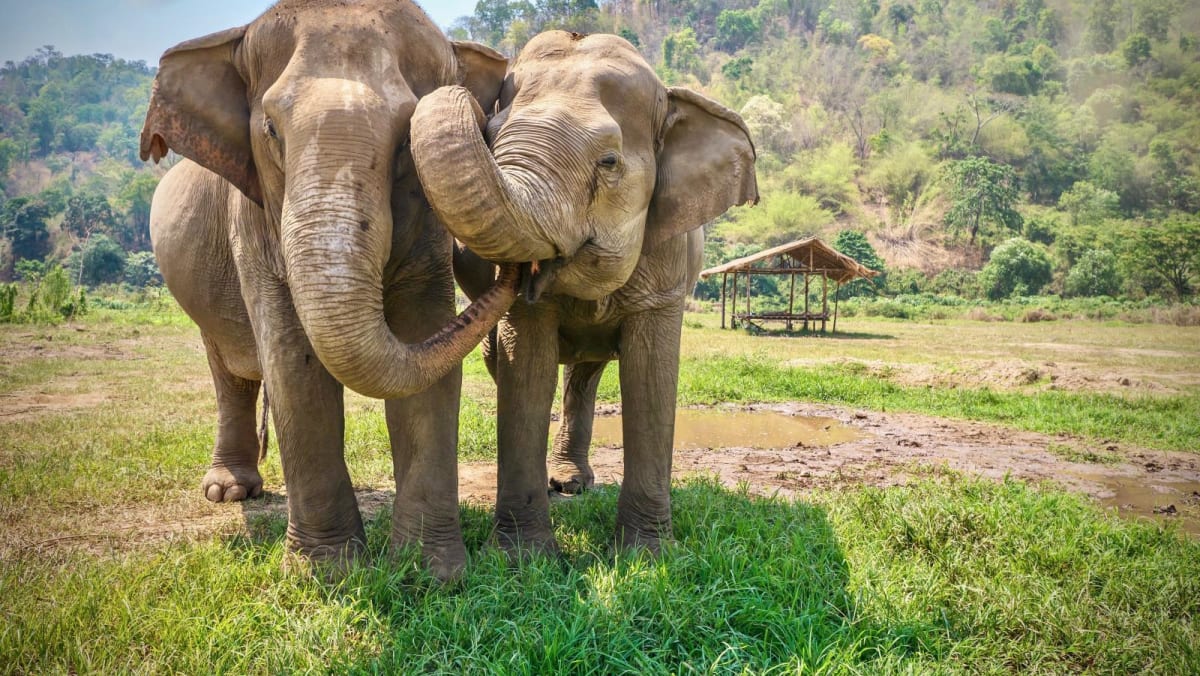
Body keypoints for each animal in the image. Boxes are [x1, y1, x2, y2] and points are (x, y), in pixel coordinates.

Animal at [139, 1, 516, 581]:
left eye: (406, 139)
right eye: (270, 128)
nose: (521, 271)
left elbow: (426, 346)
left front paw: (430, 574)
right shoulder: (252, 221)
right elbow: (294, 367)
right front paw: (327, 575)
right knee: (230, 372)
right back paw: (229, 492)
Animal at [408, 30, 753, 554]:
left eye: (608, 162)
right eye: (490, 137)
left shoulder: (668, 265)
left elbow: (651, 377)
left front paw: (647, 554)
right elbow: (526, 371)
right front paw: (523, 558)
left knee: (585, 375)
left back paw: (573, 482)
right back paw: (563, 484)